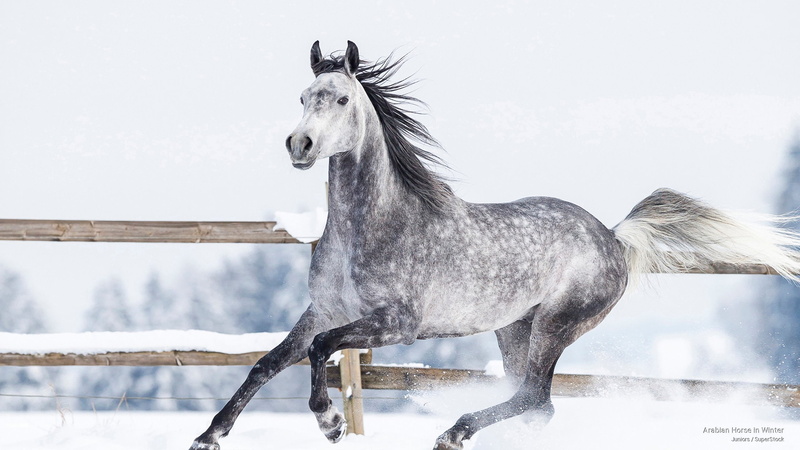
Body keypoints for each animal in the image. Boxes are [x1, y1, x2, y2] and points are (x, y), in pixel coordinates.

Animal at [191, 41, 800, 450]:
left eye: (340, 99)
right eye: (301, 97)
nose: (300, 144)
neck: (372, 226)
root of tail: (612, 236)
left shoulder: (395, 324)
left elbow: (320, 353)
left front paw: (330, 423)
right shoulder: (323, 311)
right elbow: (265, 364)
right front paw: (209, 436)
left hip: (556, 324)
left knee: (536, 397)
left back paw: (454, 432)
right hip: (514, 329)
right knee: (536, 407)